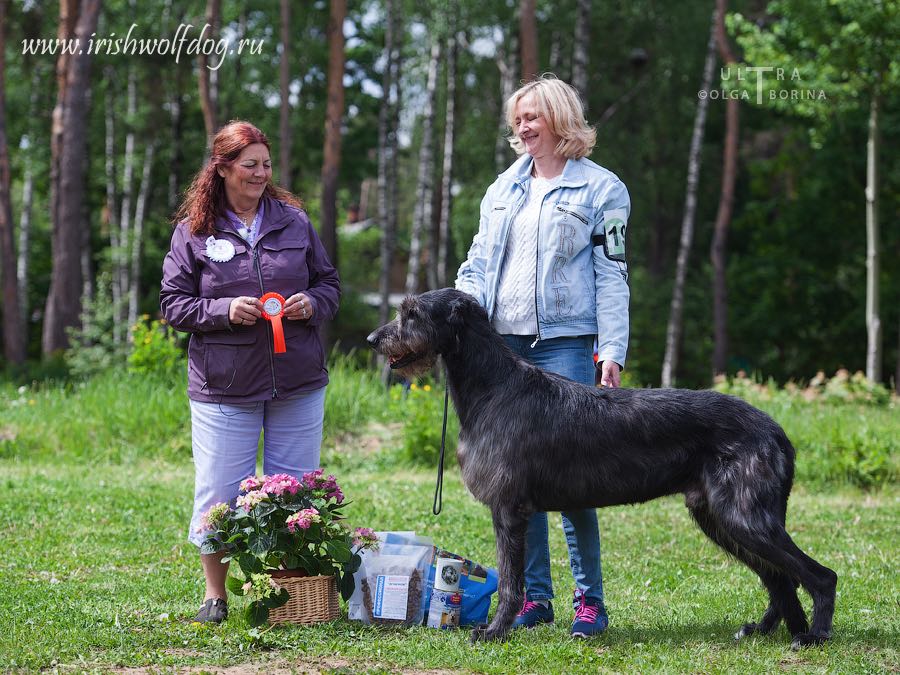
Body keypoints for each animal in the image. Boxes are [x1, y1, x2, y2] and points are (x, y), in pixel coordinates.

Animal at [366, 290, 836, 648]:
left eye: (412, 312)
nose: (372, 339)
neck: (494, 386)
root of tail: (777, 431)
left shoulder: (508, 508)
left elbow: (512, 582)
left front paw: (495, 631)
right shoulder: (518, 509)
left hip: (744, 514)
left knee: (818, 575)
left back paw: (813, 635)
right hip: (719, 516)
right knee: (780, 578)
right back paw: (770, 629)